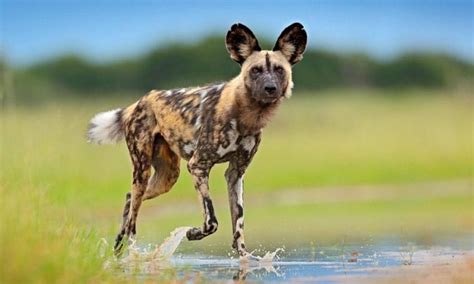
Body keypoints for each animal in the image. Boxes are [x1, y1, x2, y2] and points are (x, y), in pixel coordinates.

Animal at [86, 22, 306, 258]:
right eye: (255, 70)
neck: (247, 115)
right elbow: (212, 221)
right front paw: (192, 233)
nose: (270, 88)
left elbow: (238, 226)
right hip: (142, 170)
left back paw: (118, 249)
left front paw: (245, 259)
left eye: (279, 70)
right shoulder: (198, 166)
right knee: (133, 217)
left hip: (167, 177)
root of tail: (141, 101)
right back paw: (131, 251)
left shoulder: (235, 173)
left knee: (129, 201)